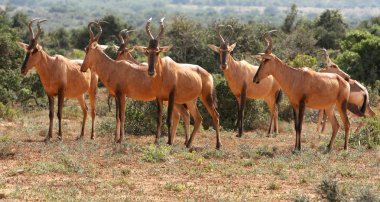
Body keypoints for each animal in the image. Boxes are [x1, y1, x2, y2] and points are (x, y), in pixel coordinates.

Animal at [134, 17, 221, 148]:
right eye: (147, 51)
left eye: (158, 51)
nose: (150, 71)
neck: (163, 72)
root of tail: (208, 74)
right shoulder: (159, 98)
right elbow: (159, 119)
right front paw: (156, 141)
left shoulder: (171, 96)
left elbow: (169, 119)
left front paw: (169, 142)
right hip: (191, 101)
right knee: (198, 118)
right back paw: (188, 144)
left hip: (206, 97)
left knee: (215, 115)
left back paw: (218, 145)